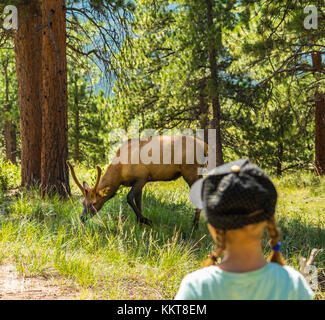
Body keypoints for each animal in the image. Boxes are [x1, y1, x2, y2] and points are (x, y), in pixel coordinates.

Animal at [67, 135, 208, 228]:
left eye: (94, 203)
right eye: (83, 203)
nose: (82, 218)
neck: (120, 174)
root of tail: (204, 146)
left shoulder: (142, 177)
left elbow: (129, 198)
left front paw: (146, 220)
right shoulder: (139, 182)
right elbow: (138, 201)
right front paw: (139, 222)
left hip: (190, 170)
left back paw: (195, 225)